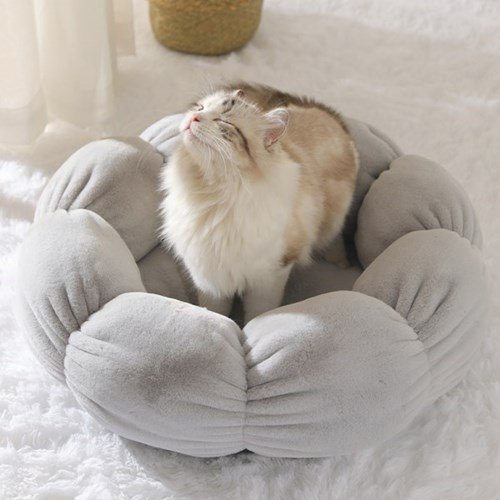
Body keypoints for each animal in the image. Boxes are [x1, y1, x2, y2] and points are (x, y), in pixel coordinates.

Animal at [160, 83, 359, 324]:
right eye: (200, 107)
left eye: (224, 122)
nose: (194, 117)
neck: (211, 193)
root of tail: (325, 112)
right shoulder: (208, 276)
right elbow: (215, 311)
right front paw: (221, 323)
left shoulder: (271, 274)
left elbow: (259, 313)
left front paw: (249, 329)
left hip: (331, 223)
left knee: (334, 239)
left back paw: (342, 263)